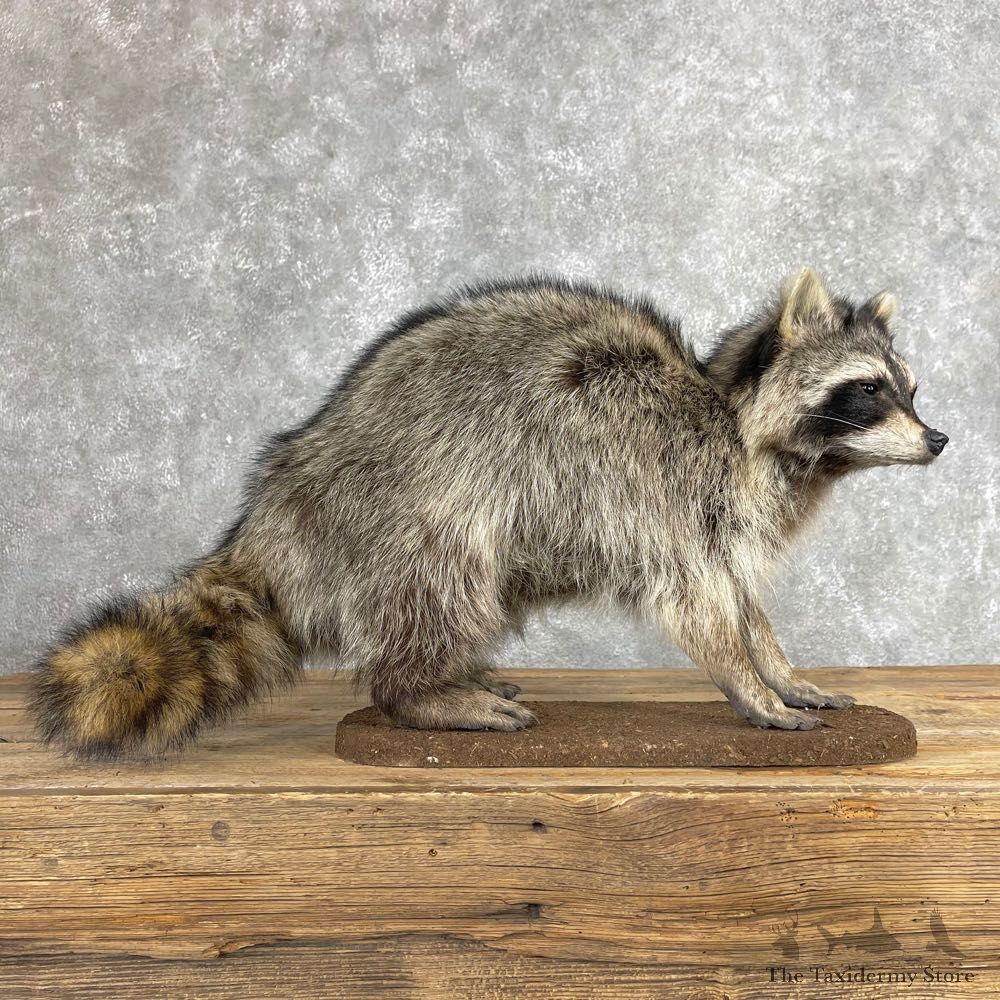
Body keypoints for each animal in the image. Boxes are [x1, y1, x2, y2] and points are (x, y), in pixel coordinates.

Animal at [29, 267, 948, 758]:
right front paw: (750, 687)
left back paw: (453, 672)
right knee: (447, 577)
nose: (939, 438)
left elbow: (743, 600)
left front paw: (782, 669)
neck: (739, 423)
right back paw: (420, 691)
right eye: (868, 390)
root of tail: (283, 498)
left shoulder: (714, 515)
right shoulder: (652, 486)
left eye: (909, 389)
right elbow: (699, 606)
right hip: (409, 502)